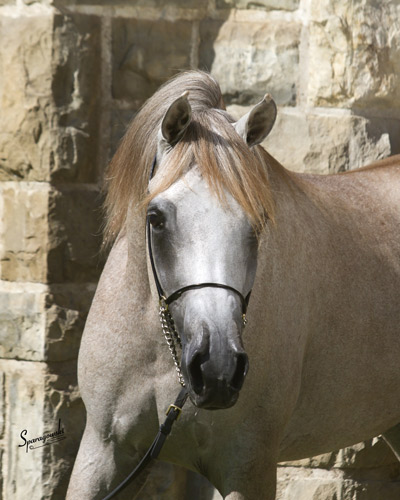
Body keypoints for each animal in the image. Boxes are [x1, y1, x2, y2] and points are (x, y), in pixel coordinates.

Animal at [67, 71, 400, 500]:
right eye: (156, 218)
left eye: (258, 221)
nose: (217, 367)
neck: (160, 356)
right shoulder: (104, 452)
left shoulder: (247, 467)